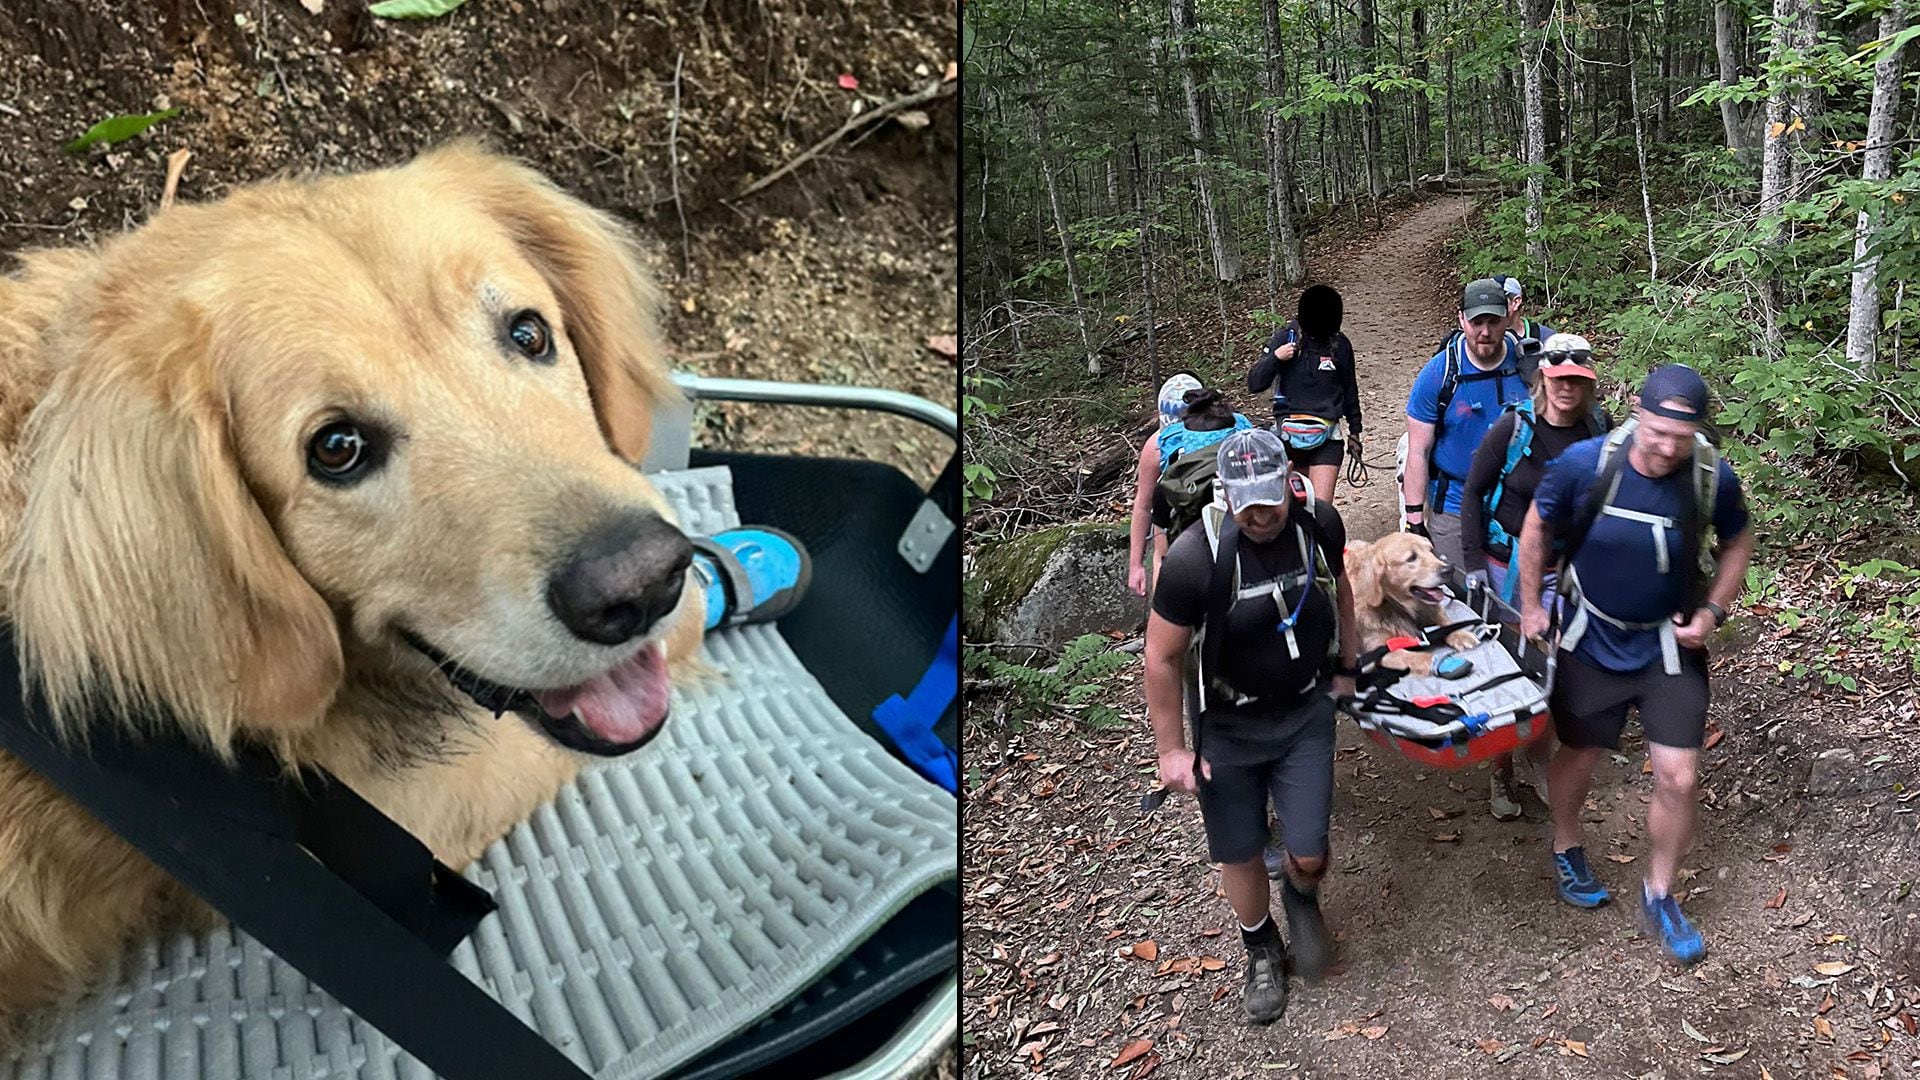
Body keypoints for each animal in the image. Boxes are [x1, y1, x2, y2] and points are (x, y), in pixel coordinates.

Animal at [1351, 530, 1482, 672]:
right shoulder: (1383, 652)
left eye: (1430, 550)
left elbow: (1446, 623)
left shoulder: (1432, 609)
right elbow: (1419, 658)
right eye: (1411, 557)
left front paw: (1461, 635)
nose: (1449, 569)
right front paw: (1445, 663)